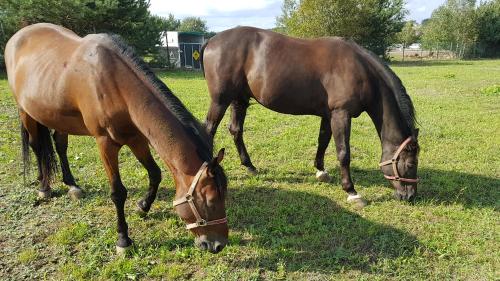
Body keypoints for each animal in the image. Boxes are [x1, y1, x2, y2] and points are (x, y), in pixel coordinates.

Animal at [4, 23, 229, 253]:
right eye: (210, 201)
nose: (218, 244)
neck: (116, 84)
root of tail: (18, 35)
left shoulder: (137, 139)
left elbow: (155, 174)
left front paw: (142, 207)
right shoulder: (106, 144)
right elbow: (118, 192)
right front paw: (123, 240)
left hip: (58, 118)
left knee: (60, 145)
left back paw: (71, 185)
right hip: (25, 111)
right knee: (37, 147)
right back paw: (44, 187)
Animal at [201, 26, 420, 206]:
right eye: (411, 163)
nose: (410, 196)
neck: (360, 69)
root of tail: (211, 41)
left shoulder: (329, 115)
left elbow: (323, 141)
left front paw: (321, 171)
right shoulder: (341, 114)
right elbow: (343, 152)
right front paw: (351, 191)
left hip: (240, 99)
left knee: (236, 130)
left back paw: (250, 166)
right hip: (220, 100)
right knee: (209, 130)